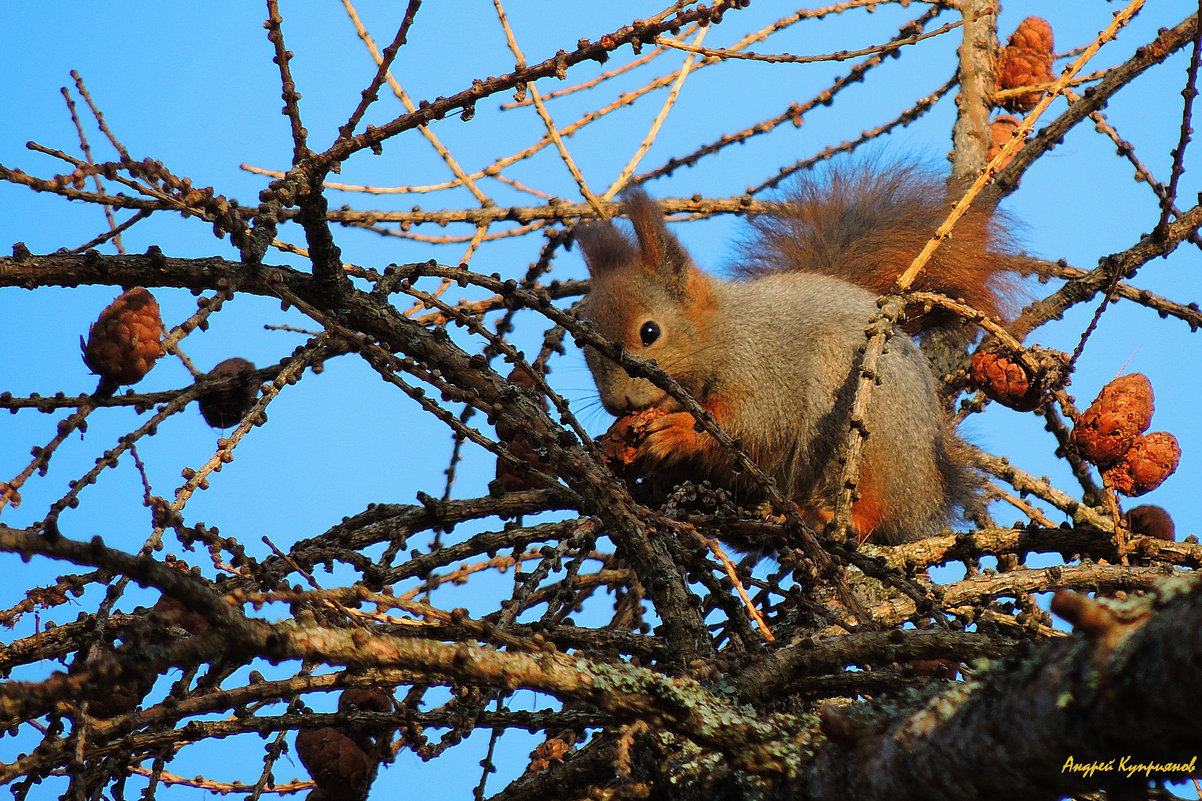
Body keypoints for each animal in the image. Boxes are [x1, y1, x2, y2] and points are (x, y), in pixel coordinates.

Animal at [576, 164, 1028, 546]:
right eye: (584, 344)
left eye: (650, 332)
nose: (619, 404)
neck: (722, 334)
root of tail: (932, 492)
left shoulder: (763, 373)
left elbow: (753, 427)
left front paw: (677, 431)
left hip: (866, 423)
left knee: (875, 508)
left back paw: (836, 519)